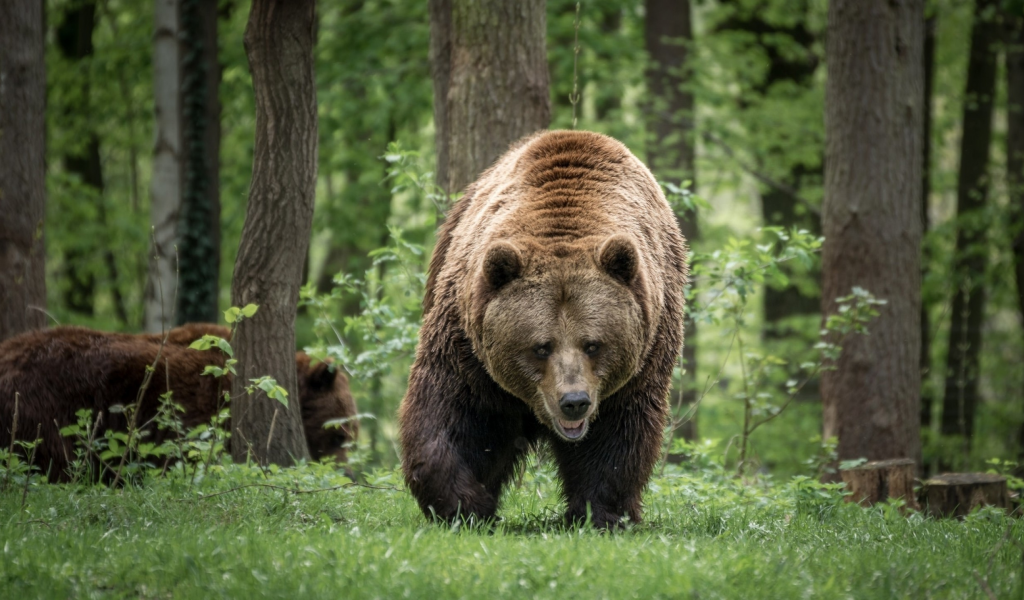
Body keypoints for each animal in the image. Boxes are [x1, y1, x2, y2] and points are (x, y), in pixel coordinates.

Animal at [399, 128, 688, 524]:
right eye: (541, 346)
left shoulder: (645, 352)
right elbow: (451, 412)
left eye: (593, 344)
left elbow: (619, 435)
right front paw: (463, 503)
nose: (574, 402)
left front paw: (601, 512)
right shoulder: (467, 346)